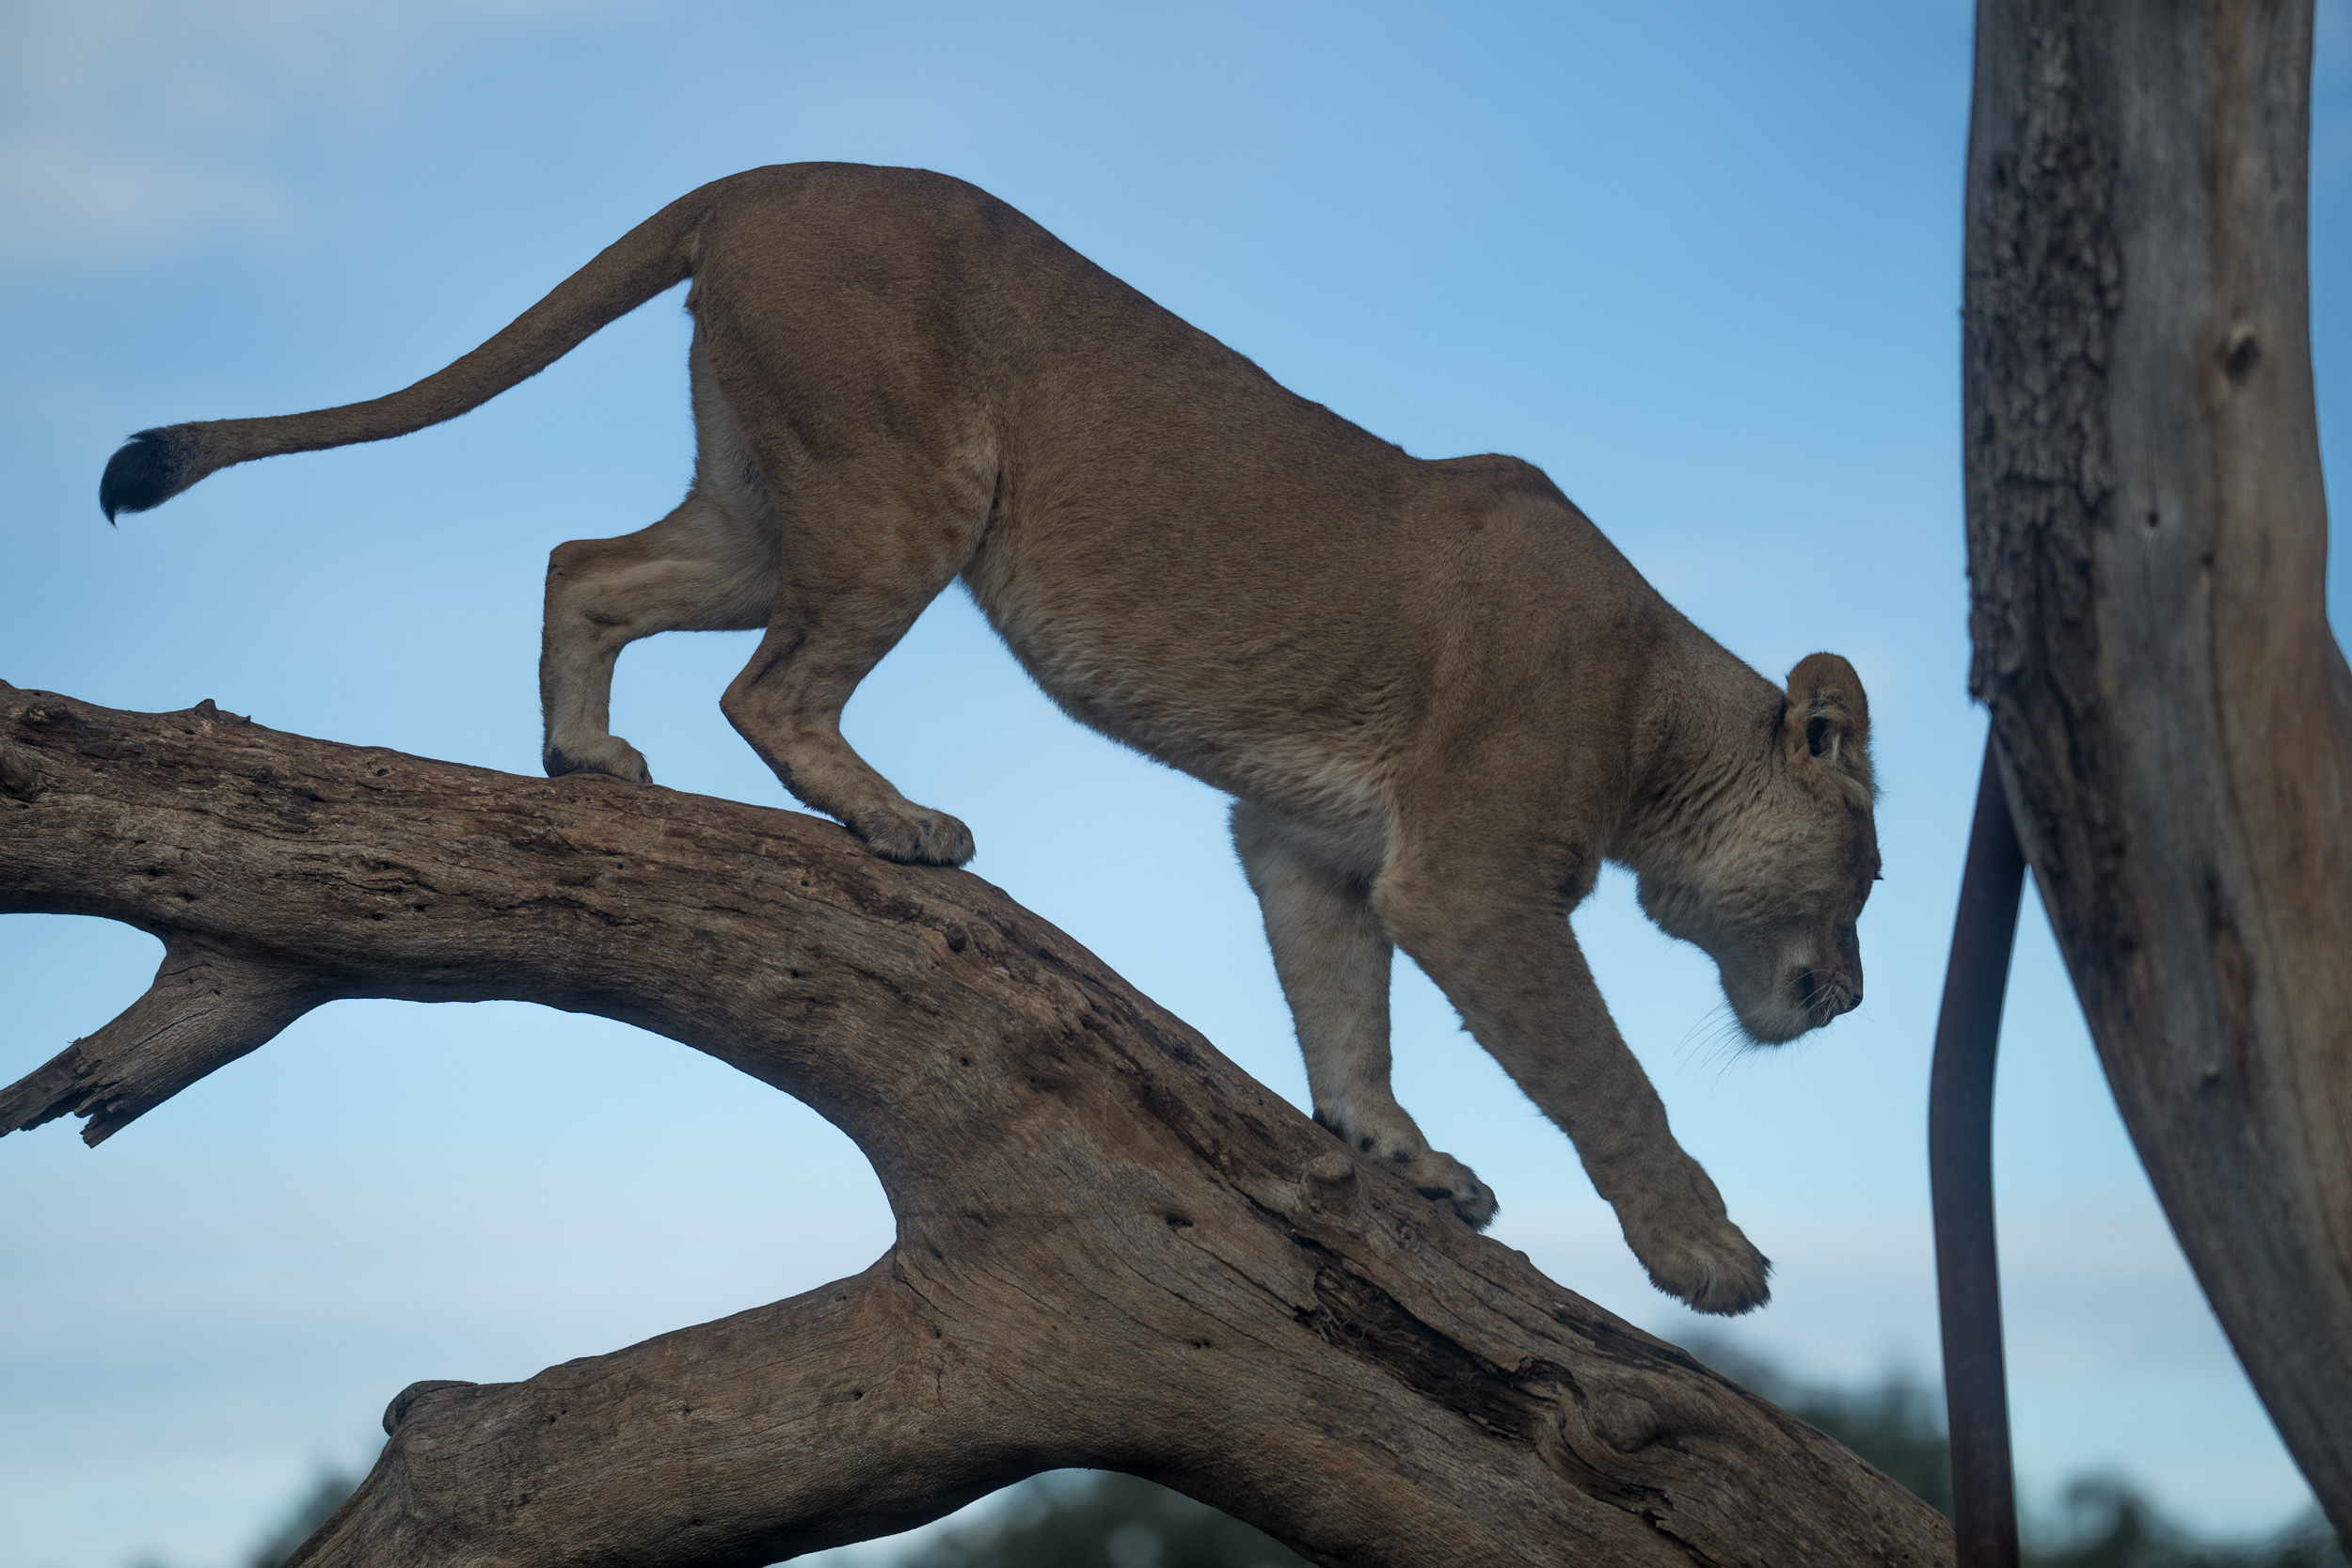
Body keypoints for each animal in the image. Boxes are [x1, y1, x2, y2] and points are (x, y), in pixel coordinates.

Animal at [105, 162, 1872, 1316]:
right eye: (1862, 878)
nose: (1851, 1000)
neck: (1667, 720)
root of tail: (764, 176)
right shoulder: (1478, 876)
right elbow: (1604, 1070)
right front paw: (1705, 1256)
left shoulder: (1313, 844)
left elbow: (1343, 1012)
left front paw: (1399, 1155)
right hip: (907, 486)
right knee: (765, 689)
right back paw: (896, 821)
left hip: (764, 500)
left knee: (586, 566)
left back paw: (587, 762)